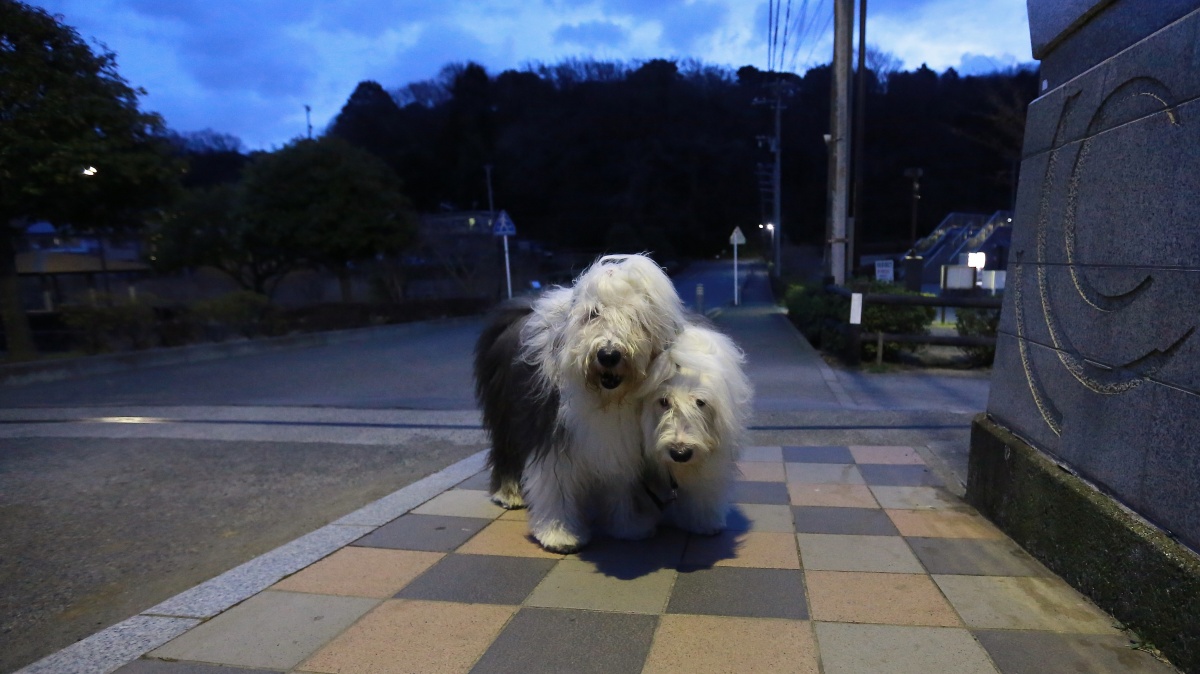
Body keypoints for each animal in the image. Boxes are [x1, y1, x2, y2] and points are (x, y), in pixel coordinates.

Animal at [473, 253, 688, 552]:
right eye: (593, 314)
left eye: (635, 317)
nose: (608, 355)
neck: (604, 397)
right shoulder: (552, 433)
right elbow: (555, 482)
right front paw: (559, 534)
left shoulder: (621, 442)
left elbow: (621, 481)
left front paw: (629, 525)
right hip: (506, 413)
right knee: (506, 451)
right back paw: (509, 493)